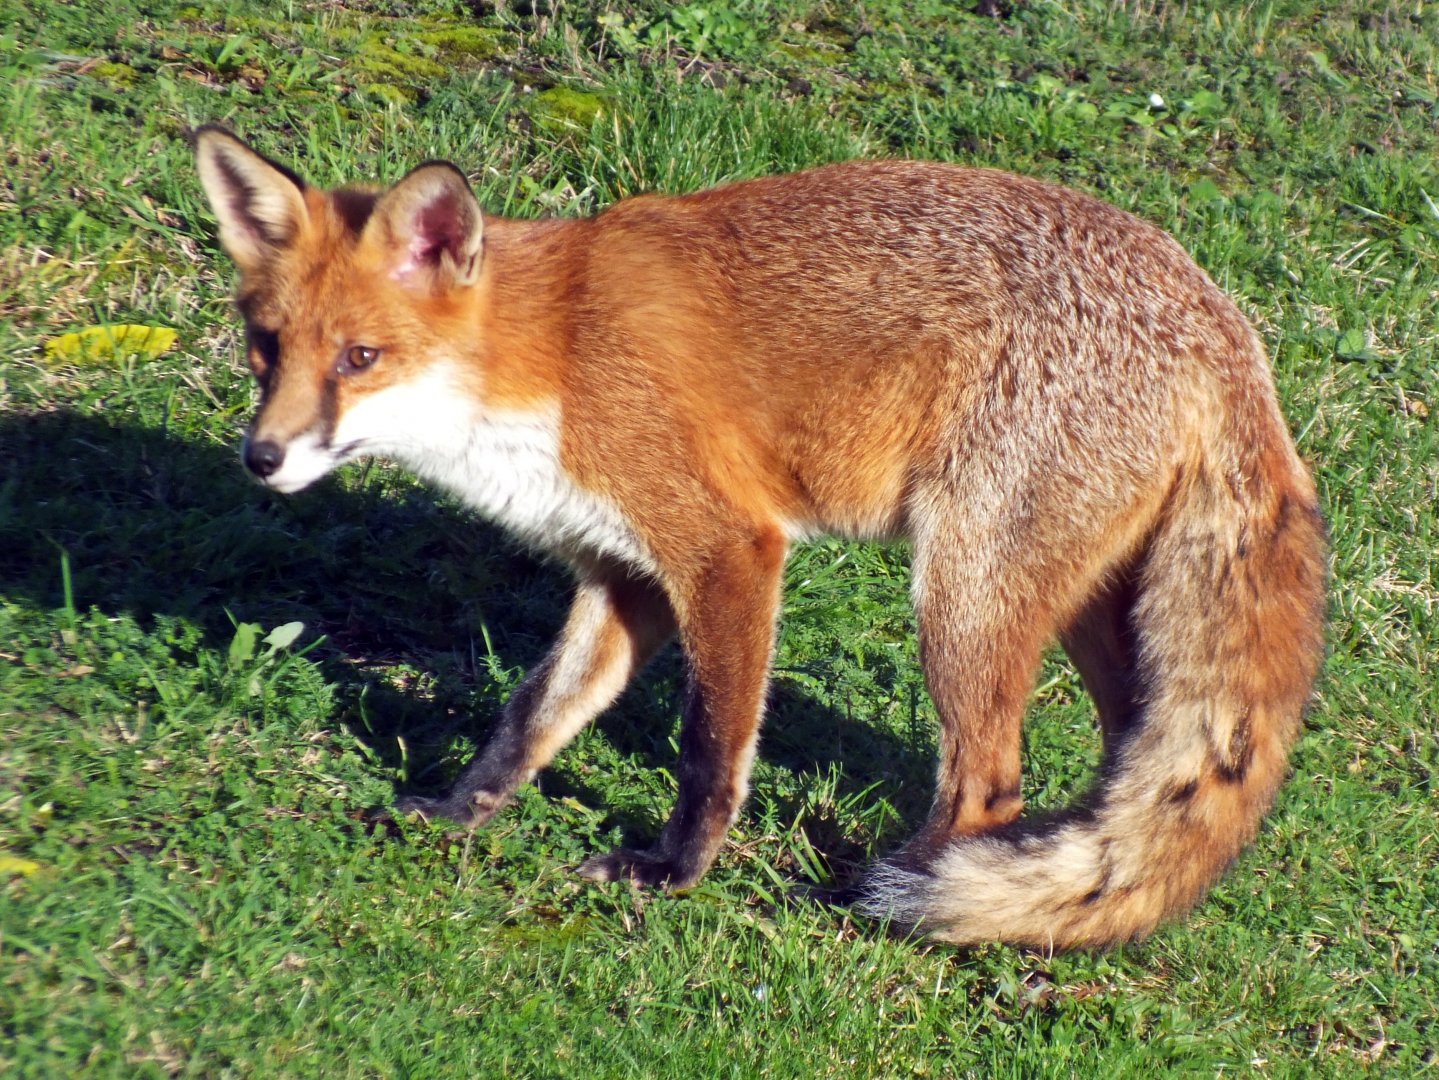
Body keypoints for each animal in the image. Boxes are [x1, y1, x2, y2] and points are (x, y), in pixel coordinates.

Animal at [193, 125, 1326, 949]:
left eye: (360, 358)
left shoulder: (726, 547)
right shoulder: (622, 576)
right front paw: (455, 812)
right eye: (265, 347)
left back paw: (879, 906)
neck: (548, 356)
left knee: (985, 784)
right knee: (1123, 763)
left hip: (959, 596)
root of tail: (1225, 326)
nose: (261, 458)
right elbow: (531, 717)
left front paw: (669, 874)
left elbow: (710, 746)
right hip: (1083, 605)